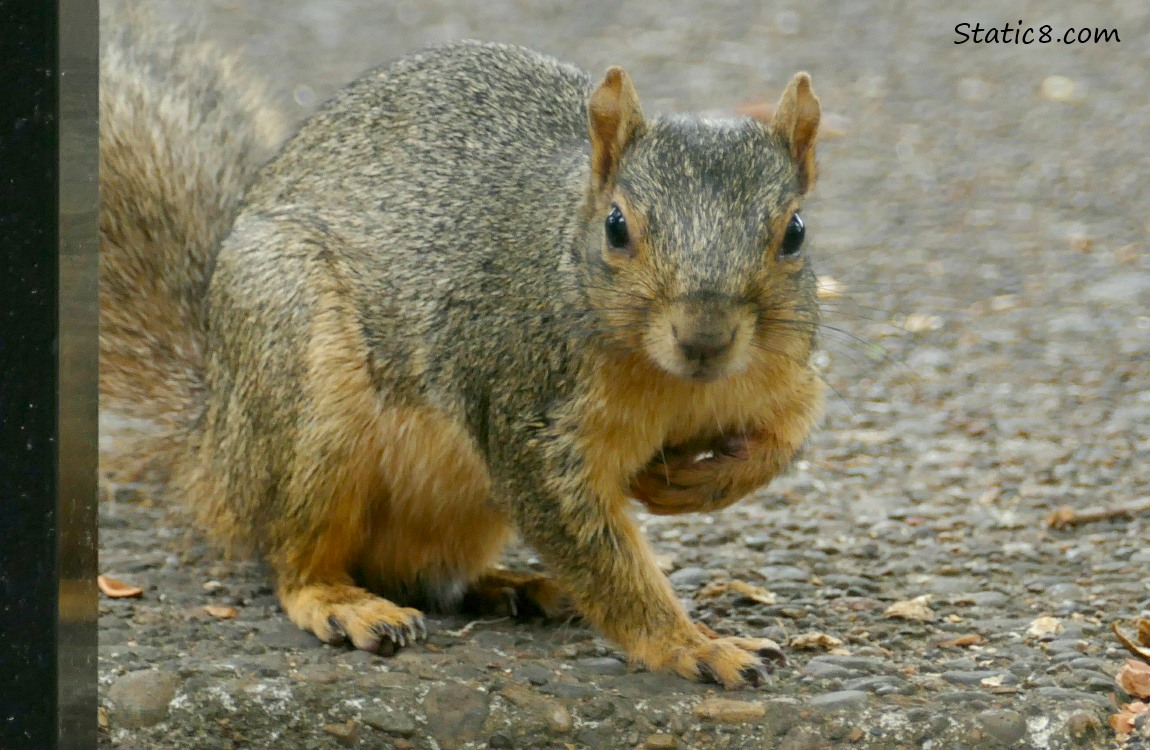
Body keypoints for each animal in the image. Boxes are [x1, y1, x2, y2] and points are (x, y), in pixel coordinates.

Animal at [101, 5, 828, 690]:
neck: (677, 384)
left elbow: (783, 441)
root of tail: (212, 439)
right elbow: (595, 553)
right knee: (295, 557)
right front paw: (689, 645)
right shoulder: (526, 412)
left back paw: (518, 586)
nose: (704, 337)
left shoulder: (784, 374)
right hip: (304, 384)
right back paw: (343, 602)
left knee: (425, 574)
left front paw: (688, 484)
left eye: (795, 232)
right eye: (616, 227)